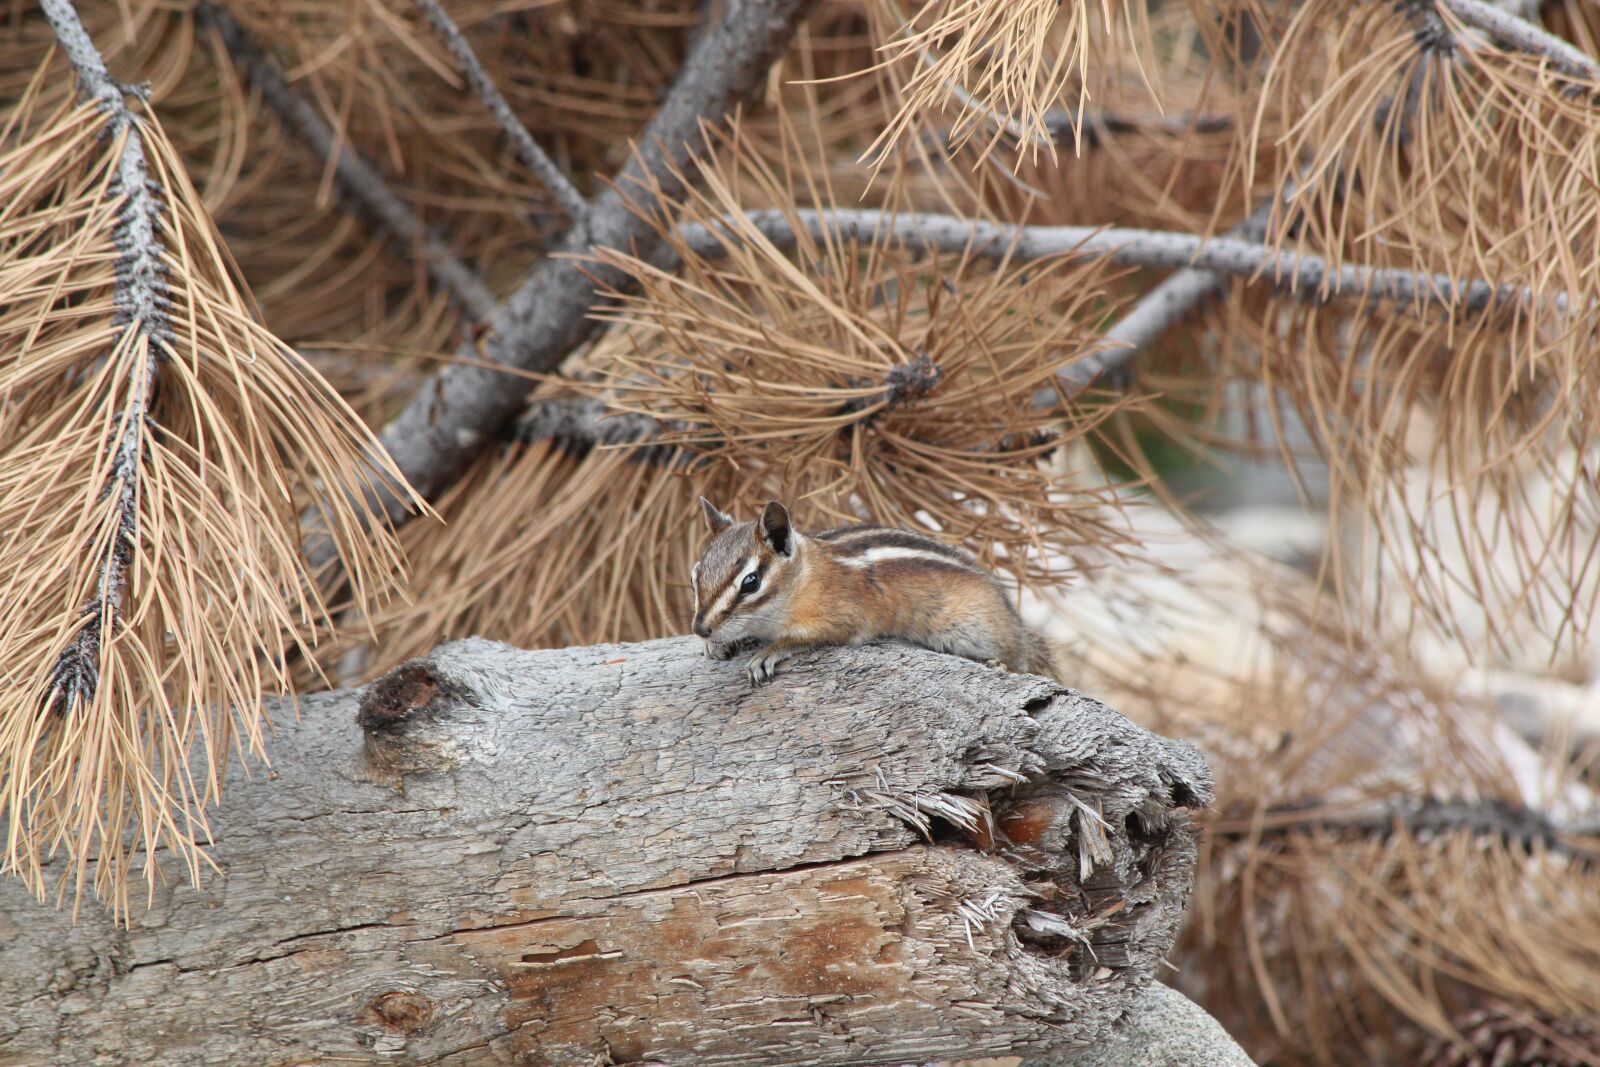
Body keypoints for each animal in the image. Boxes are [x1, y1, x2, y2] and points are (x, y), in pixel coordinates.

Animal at [690, 497, 1060, 686]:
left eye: (751, 582)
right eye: (695, 575)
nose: (699, 629)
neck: (806, 577)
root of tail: (1019, 629)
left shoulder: (841, 615)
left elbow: (812, 637)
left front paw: (769, 652)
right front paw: (716, 644)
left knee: (1019, 660)